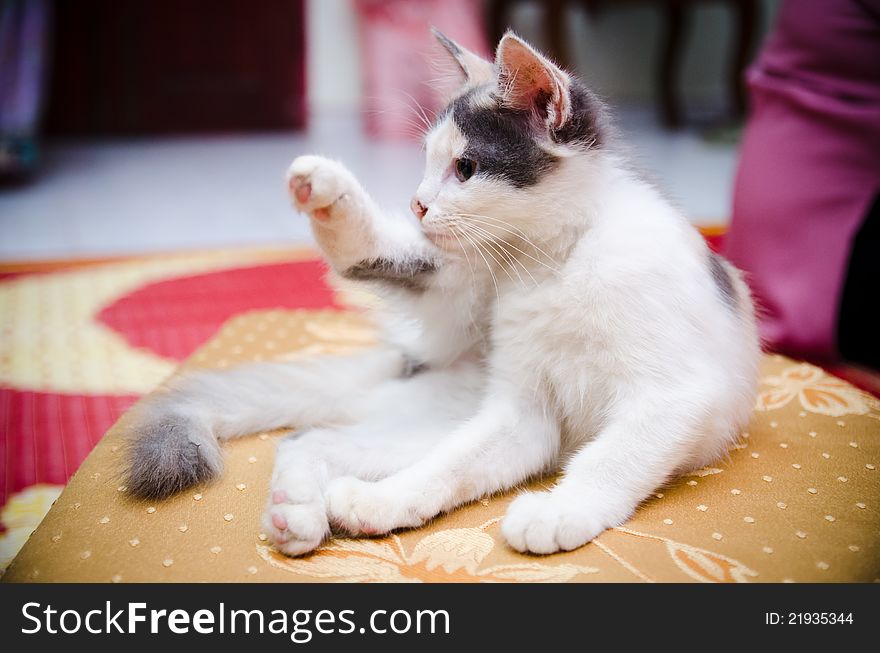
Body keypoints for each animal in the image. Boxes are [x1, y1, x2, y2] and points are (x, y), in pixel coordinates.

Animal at [120, 30, 760, 556]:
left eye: (467, 167)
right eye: (427, 165)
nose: (417, 203)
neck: (555, 263)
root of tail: (432, 360)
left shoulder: (673, 394)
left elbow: (612, 455)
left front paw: (559, 510)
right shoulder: (519, 409)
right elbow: (452, 466)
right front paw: (385, 502)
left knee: (317, 439)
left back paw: (297, 511)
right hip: (456, 334)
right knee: (321, 431)